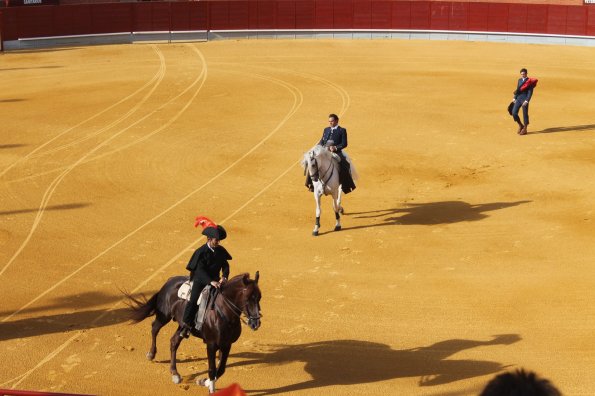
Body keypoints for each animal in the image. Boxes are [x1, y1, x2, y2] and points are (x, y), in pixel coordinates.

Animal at [127, 272, 262, 392]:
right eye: (248, 298)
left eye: (259, 297)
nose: (256, 324)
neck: (223, 314)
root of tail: (169, 281)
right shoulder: (211, 344)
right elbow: (212, 369)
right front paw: (210, 388)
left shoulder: (227, 344)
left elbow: (221, 369)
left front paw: (204, 382)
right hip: (164, 315)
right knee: (154, 328)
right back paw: (151, 354)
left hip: (182, 325)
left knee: (174, 341)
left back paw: (175, 373)